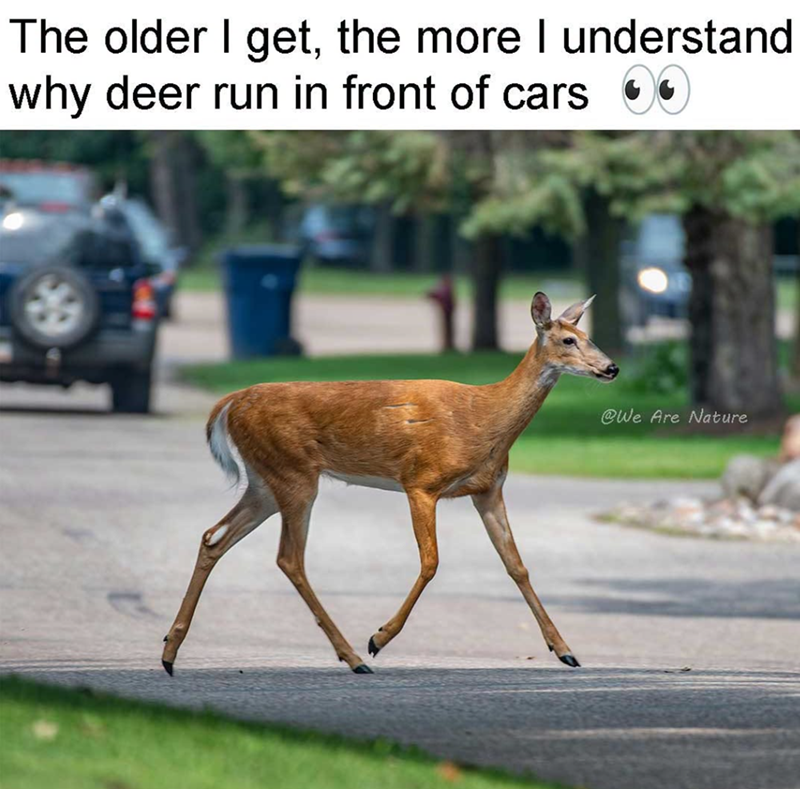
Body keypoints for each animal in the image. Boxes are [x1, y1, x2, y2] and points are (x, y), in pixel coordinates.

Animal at [162, 292, 619, 676]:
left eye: (589, 336)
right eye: (567, 340)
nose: (611, 367)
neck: (484, 419)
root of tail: (229, 403)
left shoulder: (488, 490)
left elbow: (517, 566)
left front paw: (565, 650)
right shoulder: (421, 481)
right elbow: (431, 562)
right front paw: (379, 638)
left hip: (264, 481)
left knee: (214, 537)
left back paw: (169, 652)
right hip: (293, 474)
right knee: (289, 558)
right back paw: (354, 656)